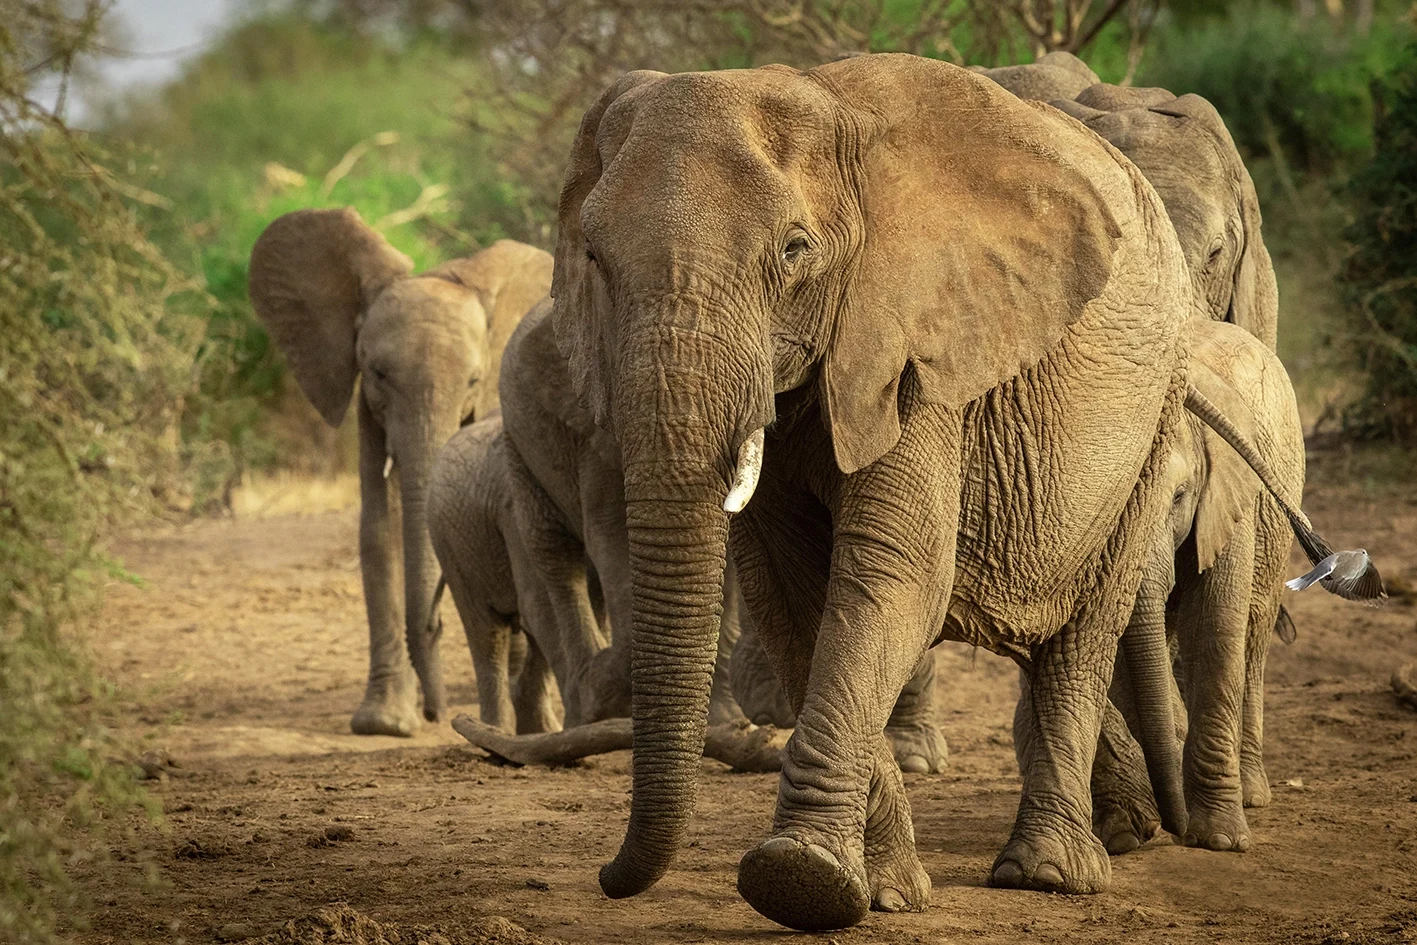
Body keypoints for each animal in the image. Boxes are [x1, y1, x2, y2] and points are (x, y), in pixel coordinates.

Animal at [548, 54, 1201, 930]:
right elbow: (791, 598)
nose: (607, 877)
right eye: (592, 257)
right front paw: (877, 890)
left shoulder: (916, 341)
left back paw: (1048, 874)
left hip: (1155, 405)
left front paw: (796, 880)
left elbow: (895, 577)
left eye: (794, 250)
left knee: (1086, 625)